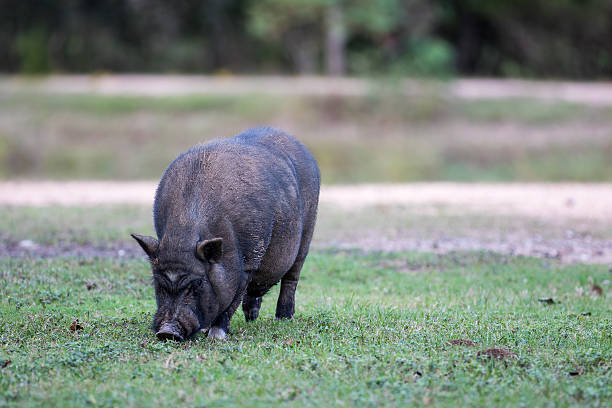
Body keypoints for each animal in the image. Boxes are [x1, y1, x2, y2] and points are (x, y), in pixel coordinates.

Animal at [130, 127, 320, 342]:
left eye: (198, 283)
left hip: (307, 232)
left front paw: (216, 336)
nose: (167, 331)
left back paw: (283, 318)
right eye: (157, 282)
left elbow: (231, 301)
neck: (184, 229)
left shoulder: (248, 262)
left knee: (292, 276)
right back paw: (251, 318)